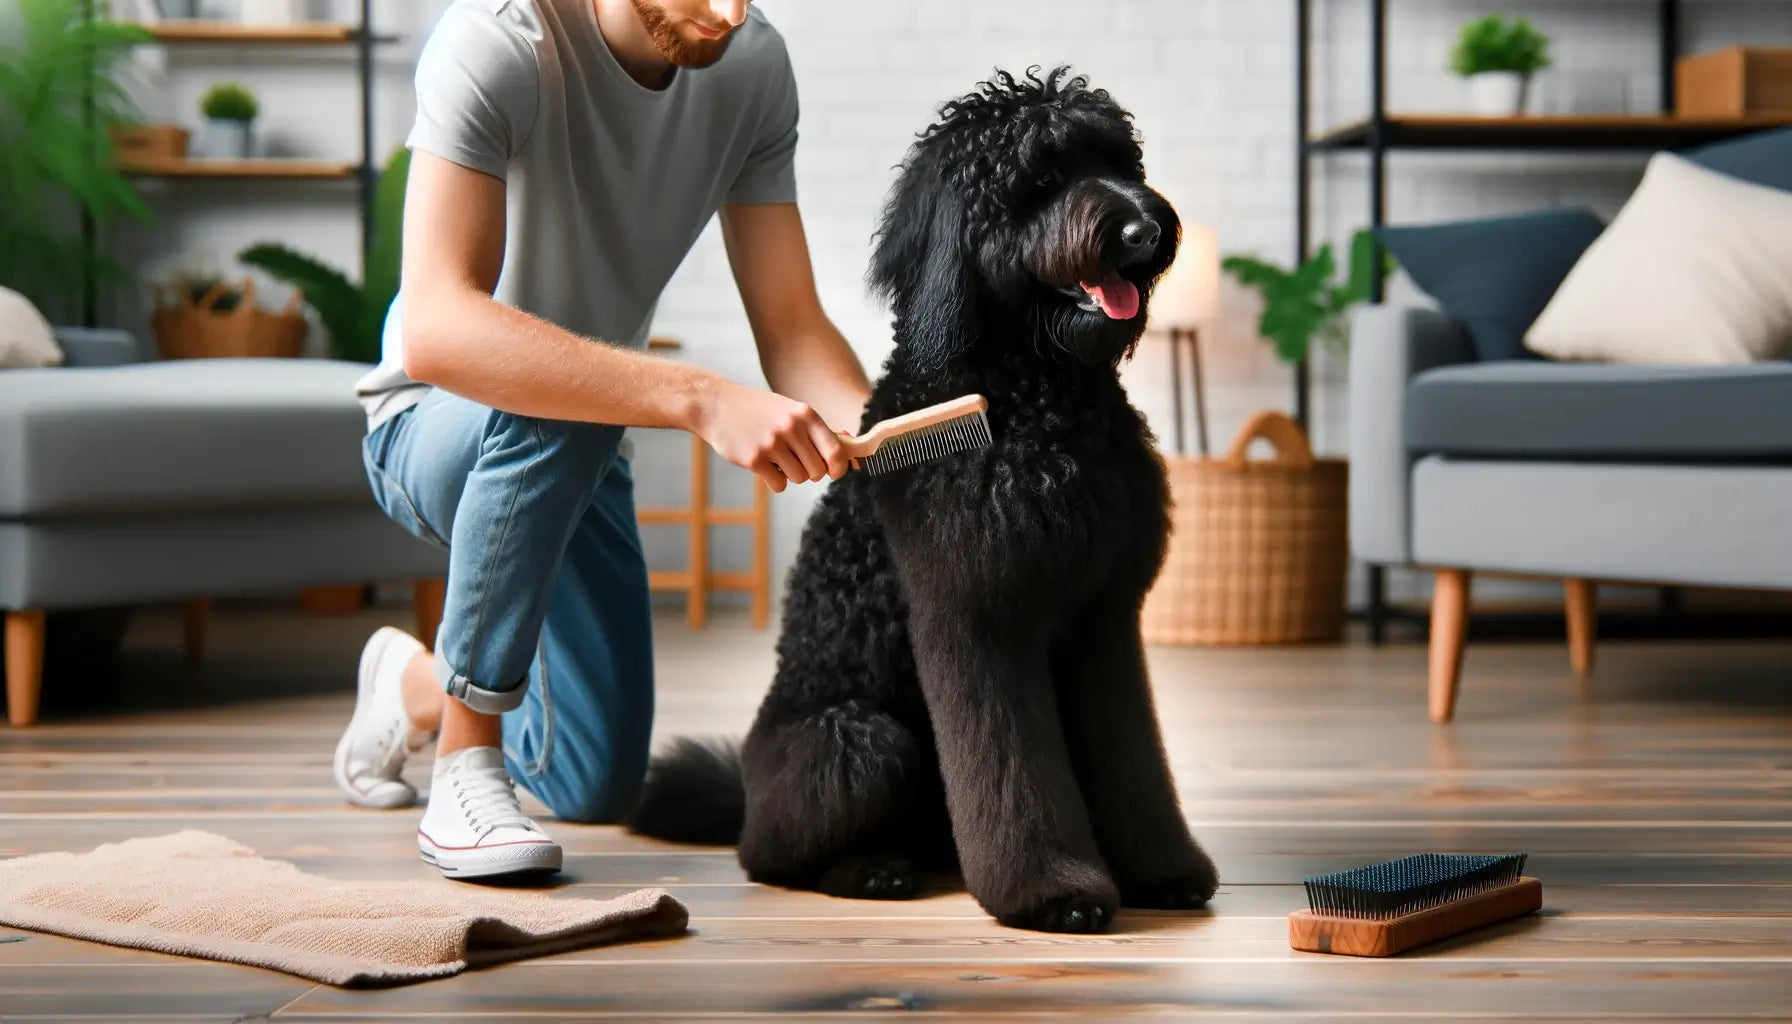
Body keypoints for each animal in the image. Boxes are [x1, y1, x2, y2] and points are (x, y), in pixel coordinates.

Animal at [627, 68, 1218, 939]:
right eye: (1041, 176)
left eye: (1120, 159)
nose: (1146, 230)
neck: (1039, 402)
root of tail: (746, 796)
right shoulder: (977, 619)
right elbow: (1013, 772)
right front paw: (1053, 894)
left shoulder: (1104, 618)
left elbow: (1131, 757)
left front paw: (1163, 870)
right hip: (860, 741)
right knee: (778, 856)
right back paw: (873, 869)